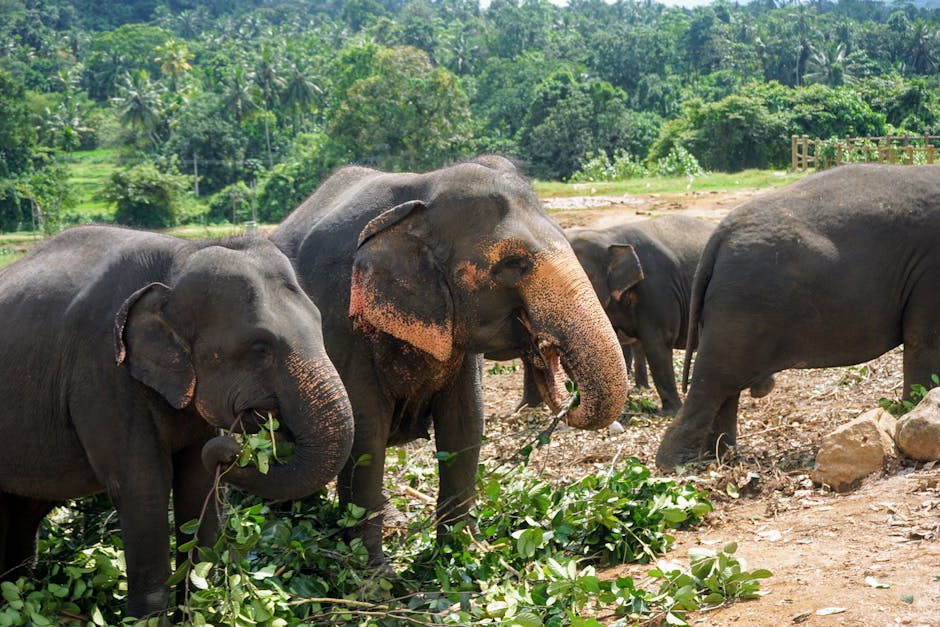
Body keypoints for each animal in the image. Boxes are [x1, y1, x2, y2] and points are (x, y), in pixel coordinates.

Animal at [0, 226, 354, 617]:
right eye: (260, 348)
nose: (234, 449)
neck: (178, 262)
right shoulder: (102, 374)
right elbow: (143, 487)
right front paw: (146, 620)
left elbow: (197, 481)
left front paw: (202, 607)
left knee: (25, 507)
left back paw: (20, 591)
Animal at [269, 156, 628, 566]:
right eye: (514, 263)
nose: (565, 391)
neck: (420, 195)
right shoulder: (337, 318)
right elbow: (364, 432)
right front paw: (375, 573)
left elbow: (465, 423)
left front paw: (462, 557)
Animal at [656, 164, 940, 469]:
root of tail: (718, 237)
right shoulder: (930, 269)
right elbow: (924, 339)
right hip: (741, 308)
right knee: (714, 380)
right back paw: (678, 463)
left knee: (726, 387)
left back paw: (723, 456)